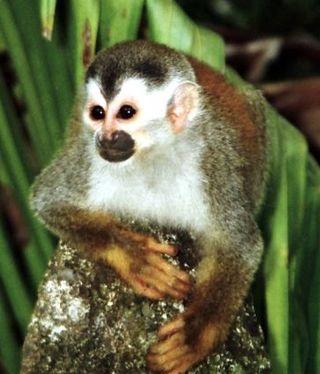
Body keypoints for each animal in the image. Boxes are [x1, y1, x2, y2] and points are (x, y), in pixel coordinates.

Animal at [31, 41, 268, 374]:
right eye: (97, 113)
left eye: (126, 113)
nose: (105, 137)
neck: (151, 156)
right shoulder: (86, 157)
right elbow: (48, 200)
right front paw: (135, 257)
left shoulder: (214, 164)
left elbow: (241, 244)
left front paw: (195, 334)